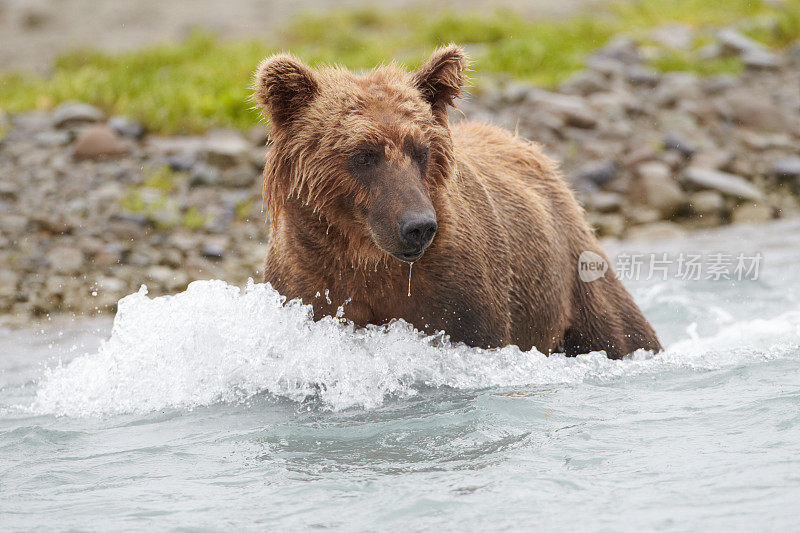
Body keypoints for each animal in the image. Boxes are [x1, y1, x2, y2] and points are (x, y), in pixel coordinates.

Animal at [252, 44, 664, 358]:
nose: (418, 226)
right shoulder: (307, 282)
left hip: (574, 274)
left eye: (420, 150)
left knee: (621, 332)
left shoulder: (458, 295)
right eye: (363, 154)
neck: (366, 258)